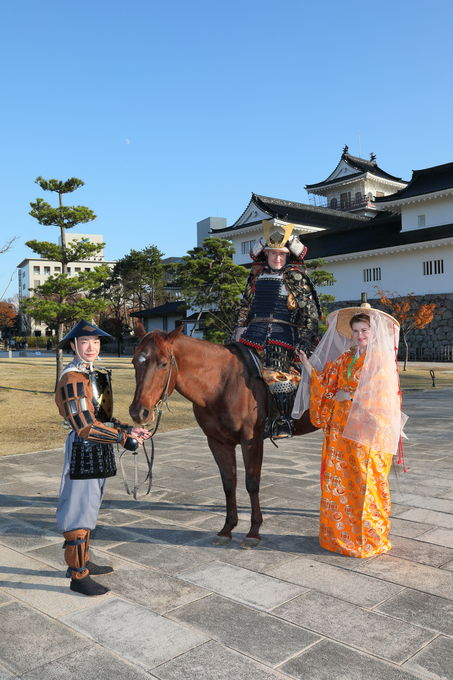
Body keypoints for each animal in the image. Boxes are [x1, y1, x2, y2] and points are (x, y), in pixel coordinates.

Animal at [129, 326, 316, 548]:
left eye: (163, 363)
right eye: (134, 361)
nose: (139, 412)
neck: (221, 384)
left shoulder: (251, 441)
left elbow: (252, 483)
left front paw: (253, 531)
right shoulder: (218, 442)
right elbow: (228, 483)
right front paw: (227, 528)